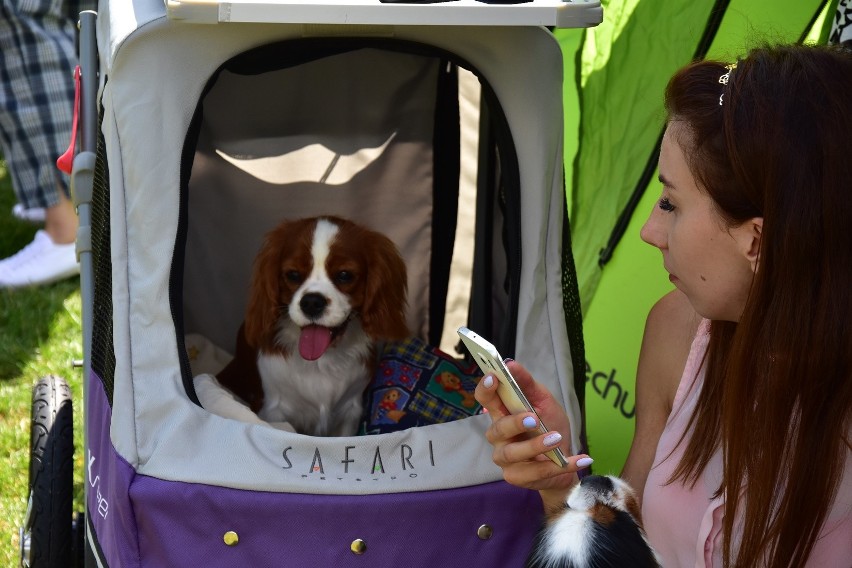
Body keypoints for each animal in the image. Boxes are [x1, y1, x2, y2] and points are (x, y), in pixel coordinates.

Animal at [201, 215, 412, 438]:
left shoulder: (350, 411)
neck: (321, 361)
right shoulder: (274, 412)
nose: (311, 302)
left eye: (344, 275)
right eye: (293, 274)